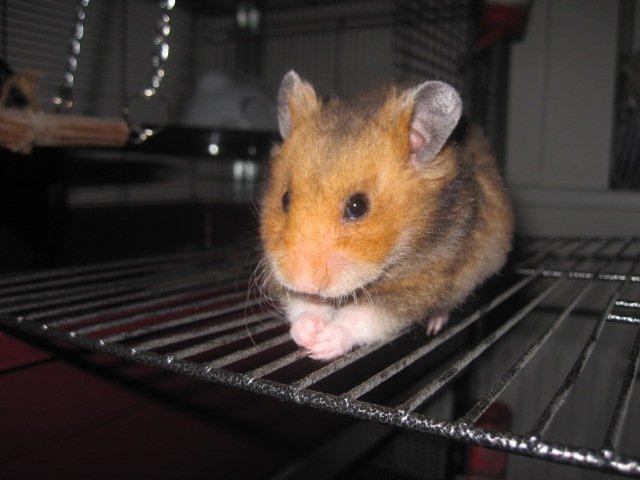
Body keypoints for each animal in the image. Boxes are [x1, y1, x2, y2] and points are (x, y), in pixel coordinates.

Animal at [258, 70, 513, 360]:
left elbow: (366, 316)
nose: (302, 281)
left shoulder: (423, 282)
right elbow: (302, 305)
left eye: (357, 206)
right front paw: (309, 333)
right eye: (285, 199)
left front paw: (324, 343)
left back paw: (435, 323)